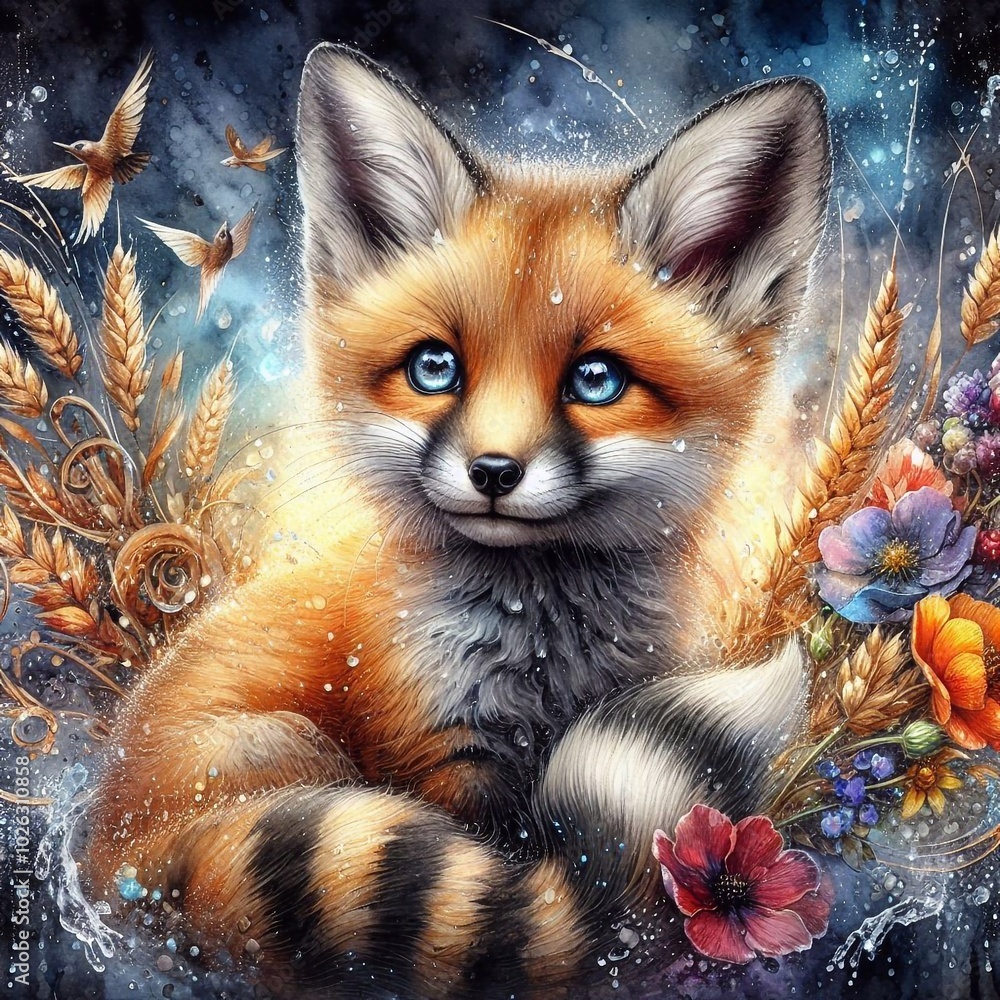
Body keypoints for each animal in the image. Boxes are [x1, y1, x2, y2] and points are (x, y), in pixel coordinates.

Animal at [83, 44, 832, 998]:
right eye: (435, 368)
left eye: (596, 380)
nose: (494, 473)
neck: (545, 654)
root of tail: (115, 862)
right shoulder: (439, 762)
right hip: (281, 749)